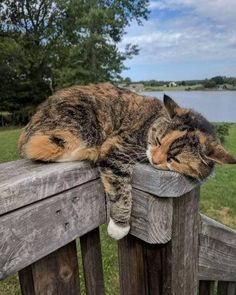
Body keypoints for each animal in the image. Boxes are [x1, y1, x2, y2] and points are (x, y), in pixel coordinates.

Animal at [18, 82, 236, 240]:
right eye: (158, 140)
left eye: (173, 158)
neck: (150, 124)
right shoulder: (118, 147)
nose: (154, 159)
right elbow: (120, 188)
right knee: (37, 148)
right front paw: (119, 227)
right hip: (73, 131)